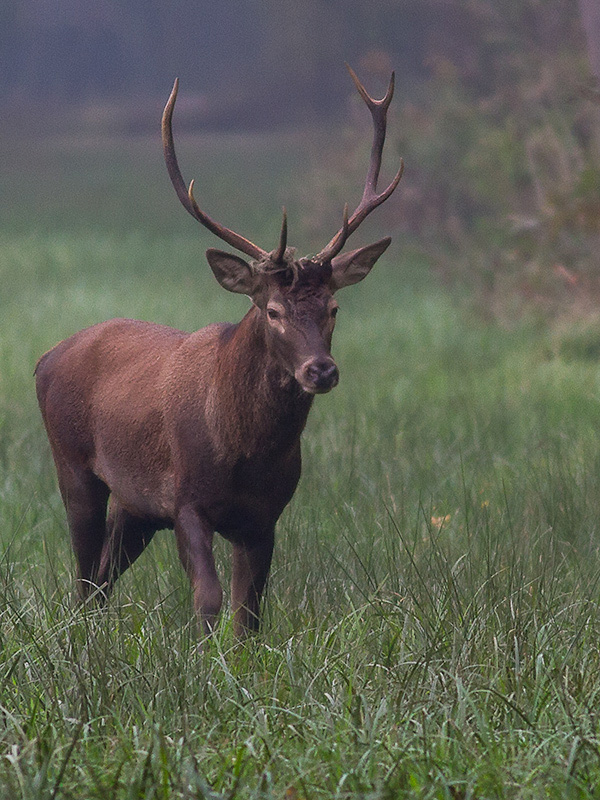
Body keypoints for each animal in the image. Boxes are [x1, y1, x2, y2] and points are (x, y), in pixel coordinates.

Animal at [36, 67, 404, 636]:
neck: (243, 449)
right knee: (82, 578)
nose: (321, 370)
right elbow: (207, 601)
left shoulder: (265, 515)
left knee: (100, 578)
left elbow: (248, 614)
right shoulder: (186, 499)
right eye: (272, 310)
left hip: (135, 504)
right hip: (72, 463)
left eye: (334, 307)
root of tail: (44, 359)